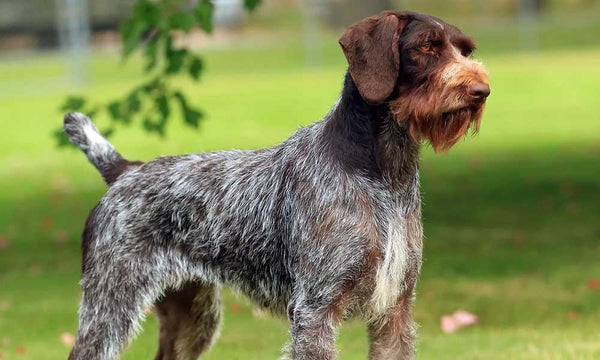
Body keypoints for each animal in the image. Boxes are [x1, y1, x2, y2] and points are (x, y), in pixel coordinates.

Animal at [63, 9, 490, 358]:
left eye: (466, 50)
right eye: (427, 46)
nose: (481, 91)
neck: (384, 173)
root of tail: (124, 170)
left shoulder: (394, 311)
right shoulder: (316, 310)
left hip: (192, 315)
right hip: (110, 307)